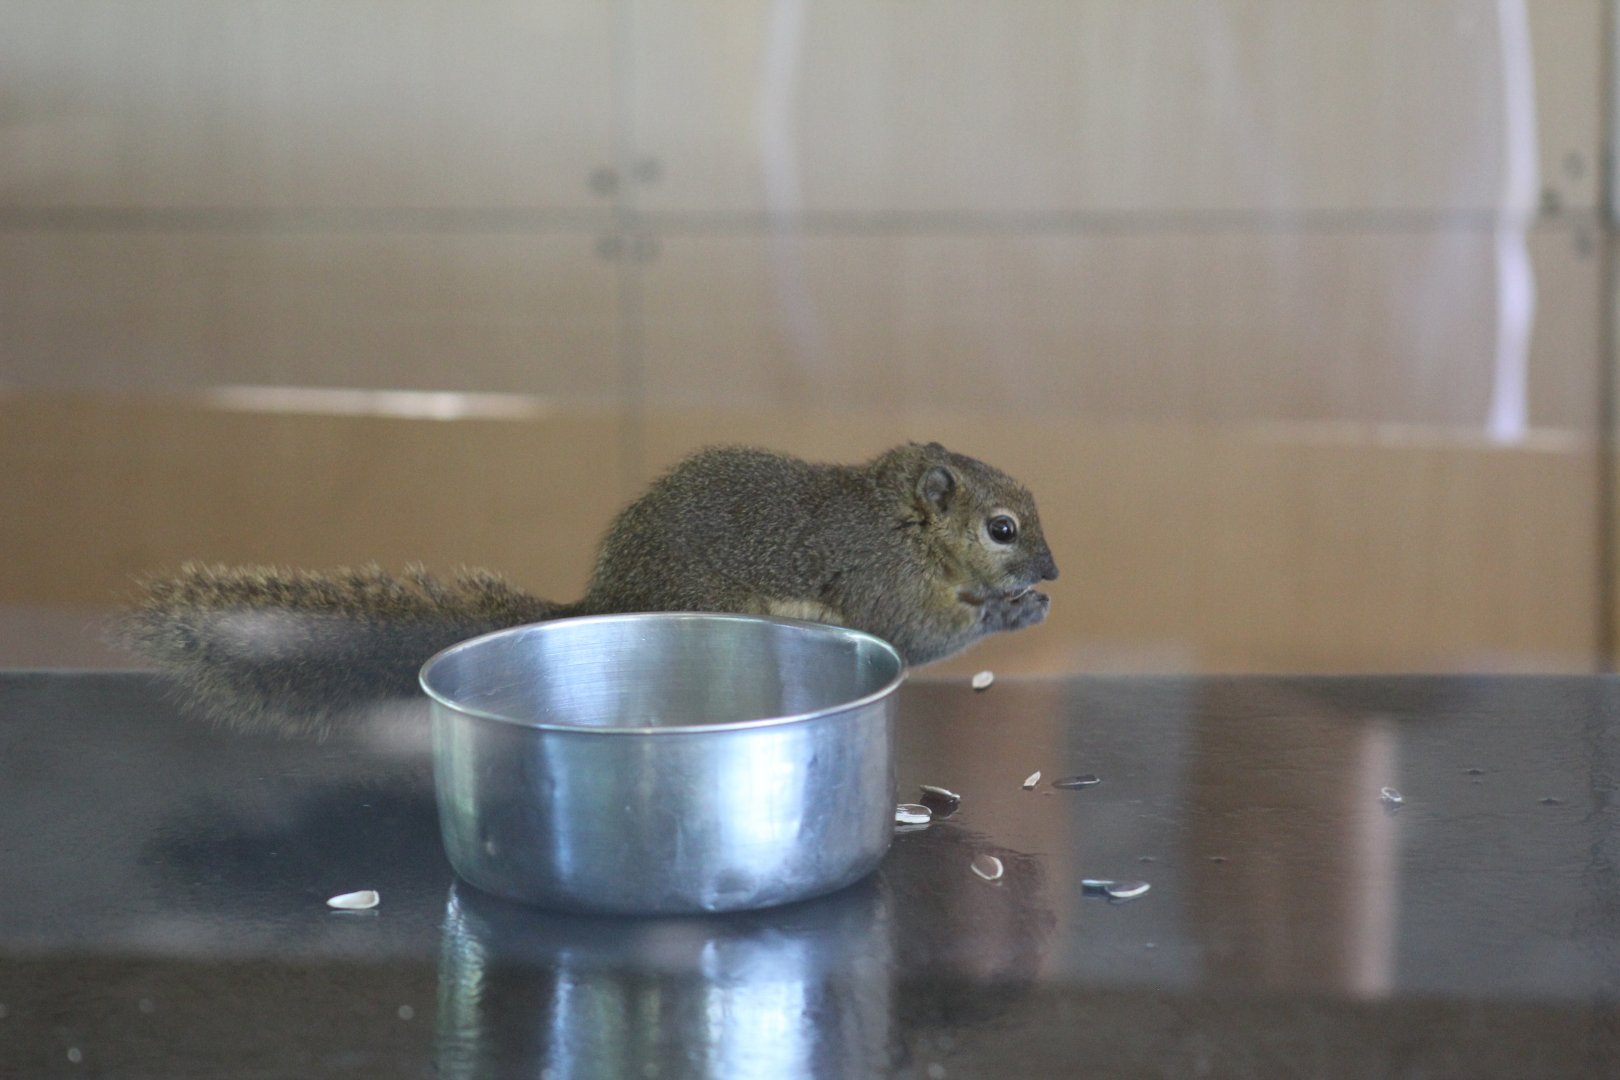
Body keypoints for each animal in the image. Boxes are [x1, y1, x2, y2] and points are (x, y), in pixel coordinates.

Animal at [122, 441, 1058, 734]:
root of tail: (606, 600)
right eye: (1002, 529)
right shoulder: (877, 577)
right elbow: (921, 635)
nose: (1052, 572)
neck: (901, 521)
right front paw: (1009, 610)